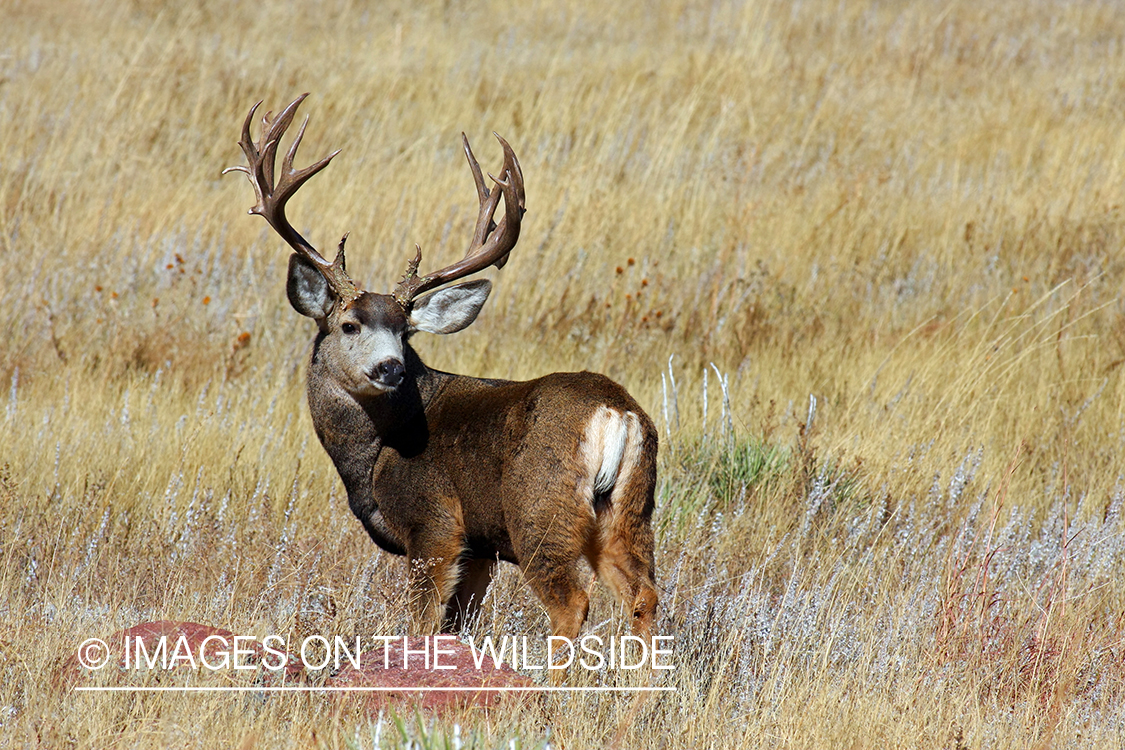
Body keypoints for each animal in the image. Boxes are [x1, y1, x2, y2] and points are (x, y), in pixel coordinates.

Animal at [224, 94, 658, 643]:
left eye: (405, 332)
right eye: (349, 325)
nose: (390, 368)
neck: (373, 455)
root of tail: (616, 414)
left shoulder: (434, 525)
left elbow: (423, 621)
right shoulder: (479, 550)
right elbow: (458, 624)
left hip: (539, 508)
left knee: (572, 601)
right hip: (629, 509)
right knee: (643, 596)